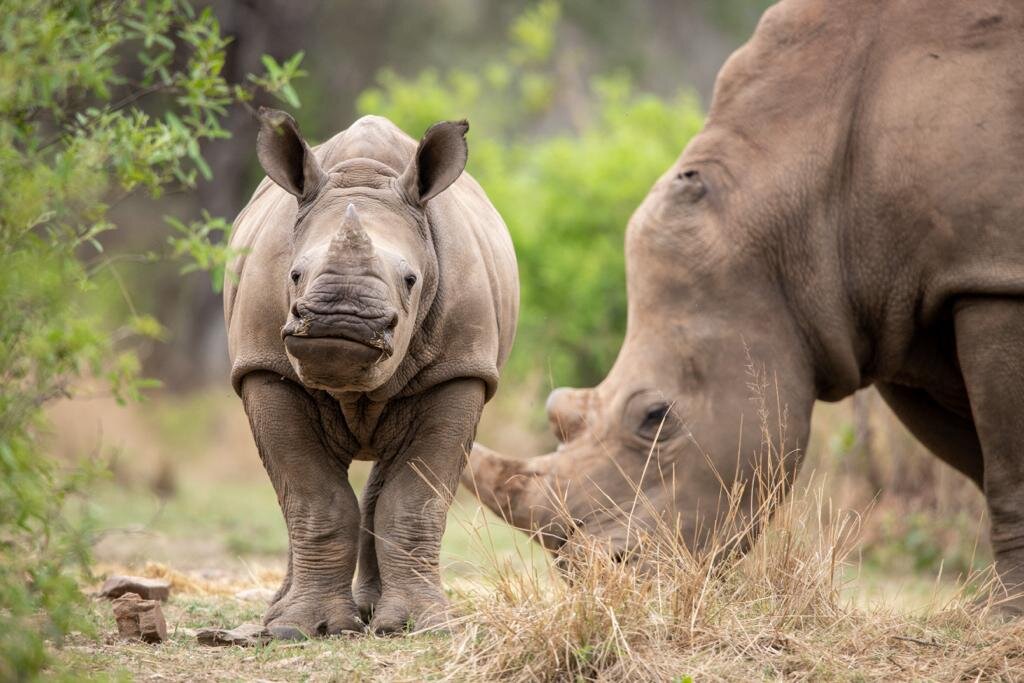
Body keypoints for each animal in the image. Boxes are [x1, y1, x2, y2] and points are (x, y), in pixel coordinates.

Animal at [224, 109, 518, 635]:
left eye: (411, 280)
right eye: (294, 274)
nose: (341, 322)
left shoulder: (460, 372)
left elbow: (413, 503)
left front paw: (423, 625)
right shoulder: (264, 368)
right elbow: (312, 498)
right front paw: (301, 628)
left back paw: (371, 613)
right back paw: (278, 616)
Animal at [465, 0, 1024, 610]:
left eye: (656, 417)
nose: (602, 579)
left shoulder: (992, 274)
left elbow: (1006, 466)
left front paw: (1005, 613)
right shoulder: (905, 302)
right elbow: (979, 460)